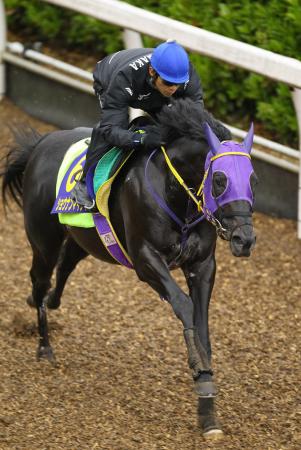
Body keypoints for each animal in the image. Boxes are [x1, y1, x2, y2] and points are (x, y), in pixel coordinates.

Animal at [1, 99, 255, 440]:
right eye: (220, 180)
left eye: (253, 180)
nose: (245, 239)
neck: (175, 192)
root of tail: (41, 144)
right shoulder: (146, 259)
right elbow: (184, 305)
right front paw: (199, 369)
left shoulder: (202, 265)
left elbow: (202, 324)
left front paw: (208, 409)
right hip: (44, 241)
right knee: (40, 280)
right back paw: (44, 346)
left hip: (87, 238)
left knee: (65, 266)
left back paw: (48, 304)